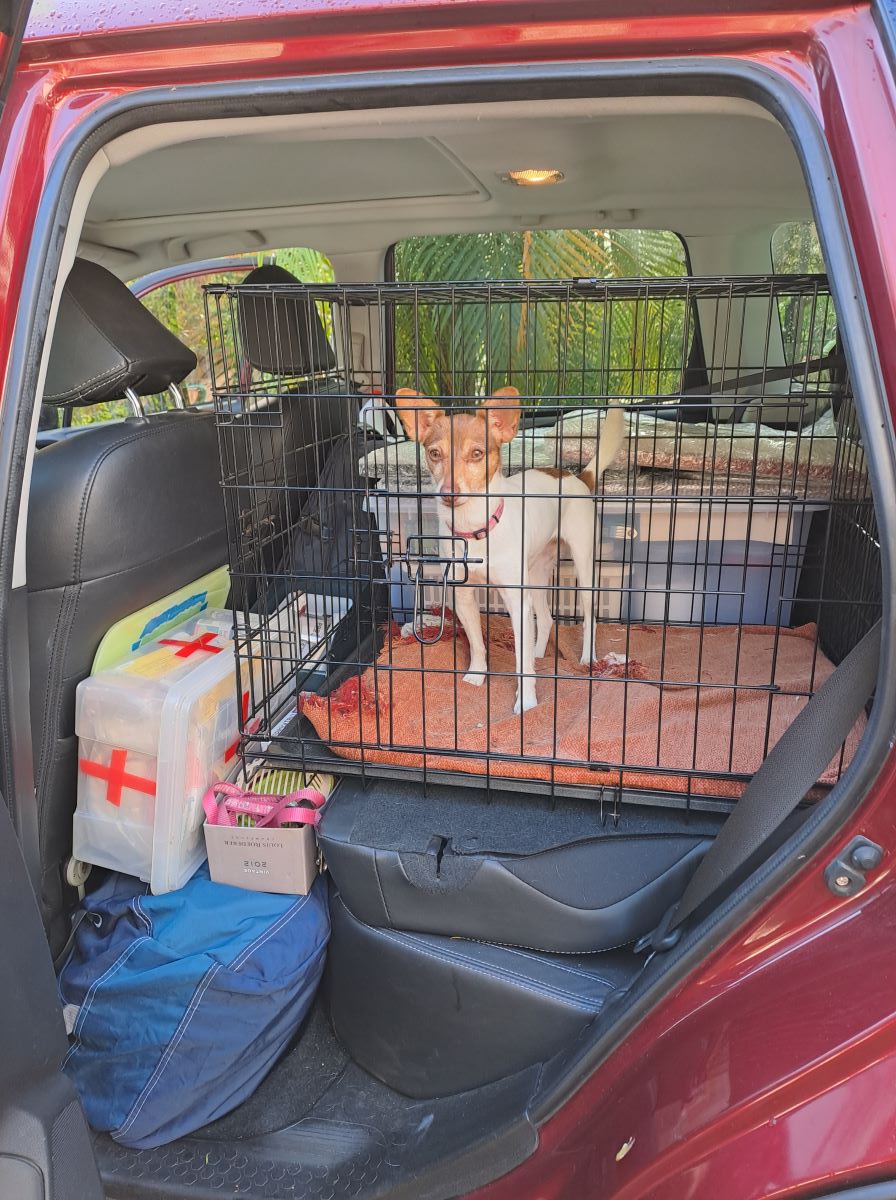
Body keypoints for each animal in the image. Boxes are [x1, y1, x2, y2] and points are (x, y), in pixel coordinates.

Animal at [394, 386, 626, 713]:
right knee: (546, 618)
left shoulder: (516, 601)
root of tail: (576, 477)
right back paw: (539, 653)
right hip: (536, 574)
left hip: (583, 567)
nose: (449, 493)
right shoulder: (463, 596)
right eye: (435, 453)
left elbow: (521, 662)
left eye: (477, 453)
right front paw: (476, 676)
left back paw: (586, 658)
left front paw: (526, 702)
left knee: (588, 617)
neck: (475, 529)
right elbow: (478, 645)